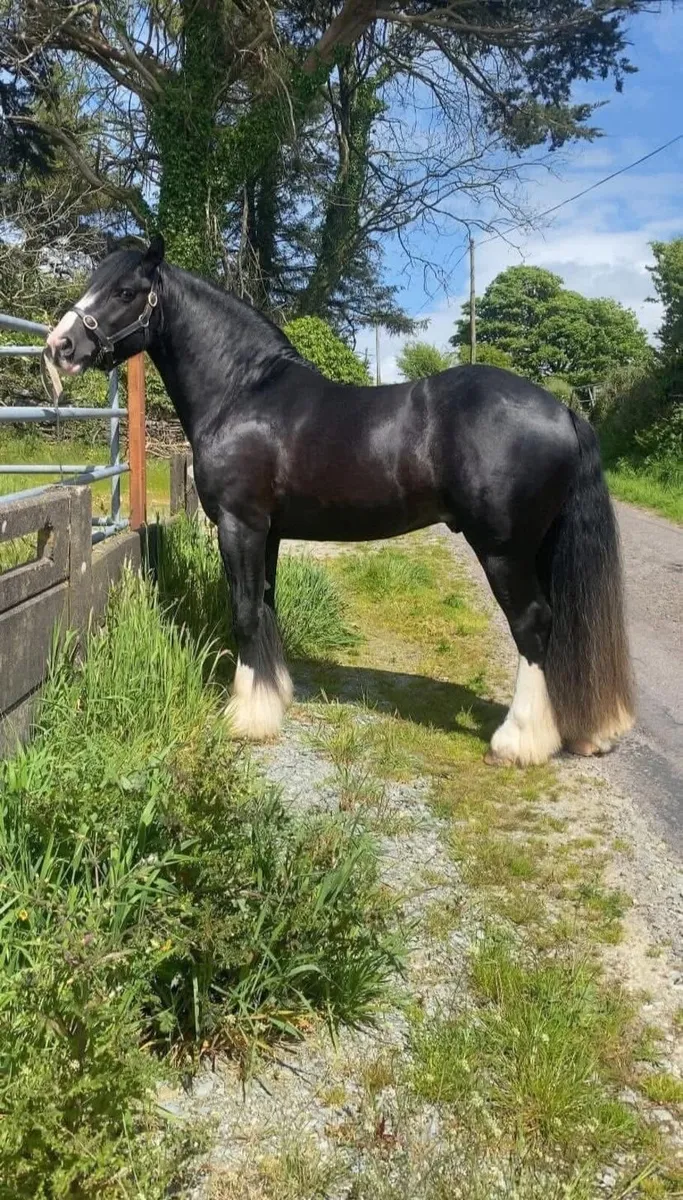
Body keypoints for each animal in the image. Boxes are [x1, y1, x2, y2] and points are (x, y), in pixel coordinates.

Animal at [46, 236, 634, 766]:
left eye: (124, 291)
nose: (59, 347)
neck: (242, 394)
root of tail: (562, 410)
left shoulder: (239, 525)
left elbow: (243, 612)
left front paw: (244, 717)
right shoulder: (269, 532)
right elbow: (266, 604)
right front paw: (274, 696)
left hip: (503, 549)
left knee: (533, 623)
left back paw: (518, 742)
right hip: (538, 546)